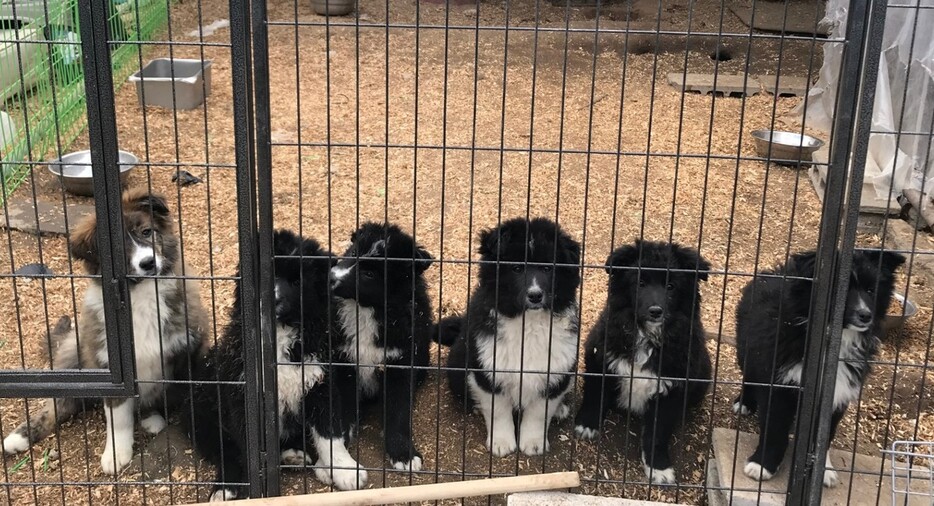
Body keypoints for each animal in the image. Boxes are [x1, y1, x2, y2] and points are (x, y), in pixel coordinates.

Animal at [0, 188, 208, 476]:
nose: (148, 262)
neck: (139, 293)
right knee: (57, 404)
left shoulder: (186, 351)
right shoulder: (111, 368)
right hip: (76, 359)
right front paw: (116, 454)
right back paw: (17, 437)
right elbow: (117, 418)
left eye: (147, 231)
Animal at [186, 231, 366, 500]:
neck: (279, 335)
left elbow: (330, 434)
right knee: (225, 450)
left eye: (297, 281)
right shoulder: (243, 396)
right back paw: (226, 487)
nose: (270, 298)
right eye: (264, 274)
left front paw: (344, 469)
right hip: (202, 409)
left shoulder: (319, 384)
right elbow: (247, 447)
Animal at [330, 223, 436, 472]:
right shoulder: (344, 360)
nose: (330, 278)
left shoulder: (400, 362)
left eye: (370, 274)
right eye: (352, 253)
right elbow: (345, 403)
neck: (368, 310)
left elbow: (398, 410)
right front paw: (342, 438)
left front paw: (403, 454)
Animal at [576, 239, 712, 484]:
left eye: (671, 286)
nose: (655, 311)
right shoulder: (600, 358)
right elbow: (594, 395)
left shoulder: (671, 389)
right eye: (640, 282)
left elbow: (657, 433)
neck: (646, 336)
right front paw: (587, 424)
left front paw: (659, 467)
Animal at [740, 249, 908, 486]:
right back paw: (743, 403)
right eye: (840, 291)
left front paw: (821, 471)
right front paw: (762, 465)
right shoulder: (781, 383)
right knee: (749, 377)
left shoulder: (837, 392)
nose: (865, 315)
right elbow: (775, 427)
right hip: (747, 351)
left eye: (870, 290)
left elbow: (824, 436)